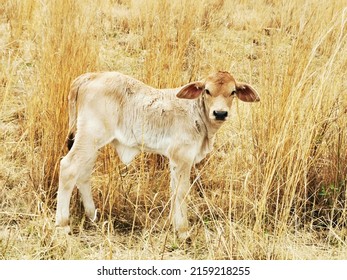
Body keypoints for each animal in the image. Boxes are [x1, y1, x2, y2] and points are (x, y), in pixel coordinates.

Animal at [55, 71, 260, 240]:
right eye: (207, 91)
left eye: (233, 92)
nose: (220, 113)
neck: (198, 114)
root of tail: (90, 76)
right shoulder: (182, 157)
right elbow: (182, 192)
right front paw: (183, 231)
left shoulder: (175, 161)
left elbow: (174, 190)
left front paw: (174, 225)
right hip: (89, 138)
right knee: (68, 168)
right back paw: (62, 225)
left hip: (92, 144)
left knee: (83, 174)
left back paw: (92, 215)